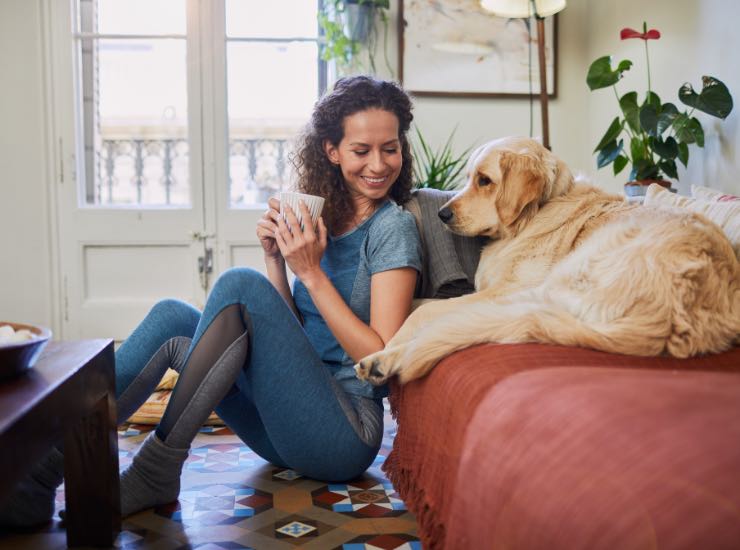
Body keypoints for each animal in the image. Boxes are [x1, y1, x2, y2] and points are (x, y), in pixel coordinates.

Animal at [356, 137, 736, 386]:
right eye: (466, 179)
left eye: (484, 180)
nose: (442, 214)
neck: (535, 213)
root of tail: (665, 317)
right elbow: (422, 303)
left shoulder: (504, 290)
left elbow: (426, 311)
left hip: (554, 284)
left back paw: (383, 361)